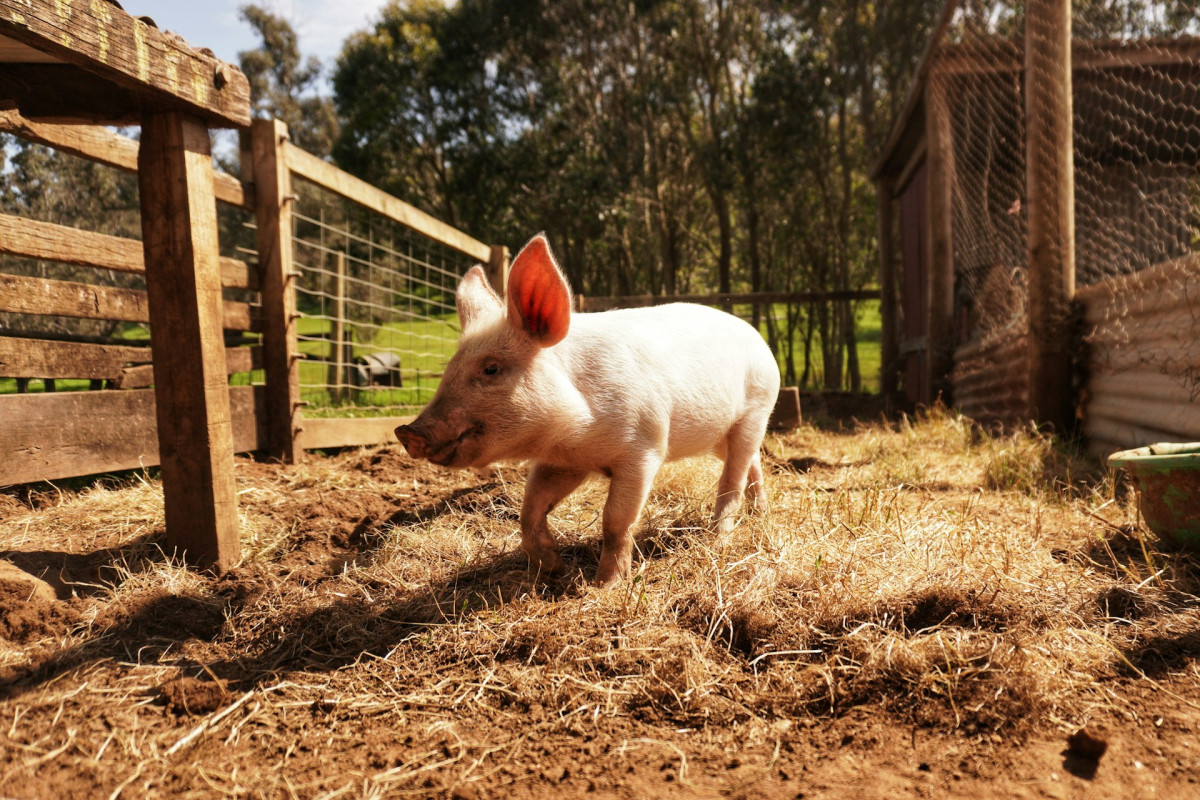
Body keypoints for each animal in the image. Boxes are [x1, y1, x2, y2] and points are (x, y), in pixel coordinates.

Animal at [398, 235, 782, 585]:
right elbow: (529, 511)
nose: (406, 431)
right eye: (449, 368)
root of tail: (757, 337)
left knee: (733, 478)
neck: (572, 435)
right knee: (753, 463)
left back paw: (718, 538)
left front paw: (605, 585)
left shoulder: (644, 448)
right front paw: (554, 569)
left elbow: (615, 521)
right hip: (719, 436)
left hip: (756, 410)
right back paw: (761, 513)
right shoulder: (564, 463)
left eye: (491, 368)